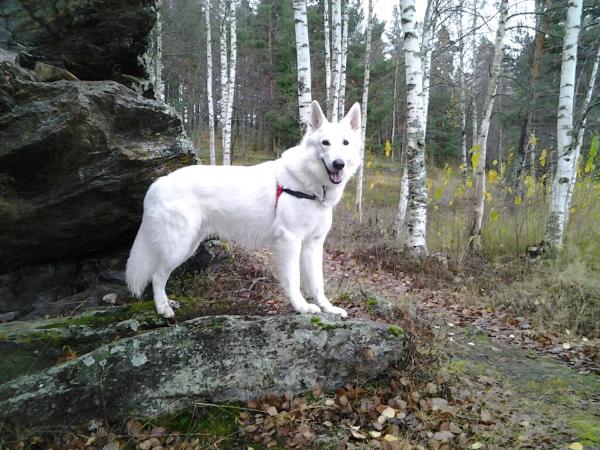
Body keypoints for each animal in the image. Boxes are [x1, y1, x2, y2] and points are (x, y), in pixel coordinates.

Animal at [126, 100, 360, 318]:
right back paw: (162, 308)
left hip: (189, 245)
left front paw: (328, 308)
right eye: (325, 143)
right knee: (157, 277)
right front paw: (301, 307)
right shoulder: (290, 241)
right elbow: (293, 279)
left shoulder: (313, 244)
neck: (309, 185)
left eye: (345, 143)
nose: (338, 164)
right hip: (178, 246)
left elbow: (317, 284)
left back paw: (167, 303)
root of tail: (158, 183)